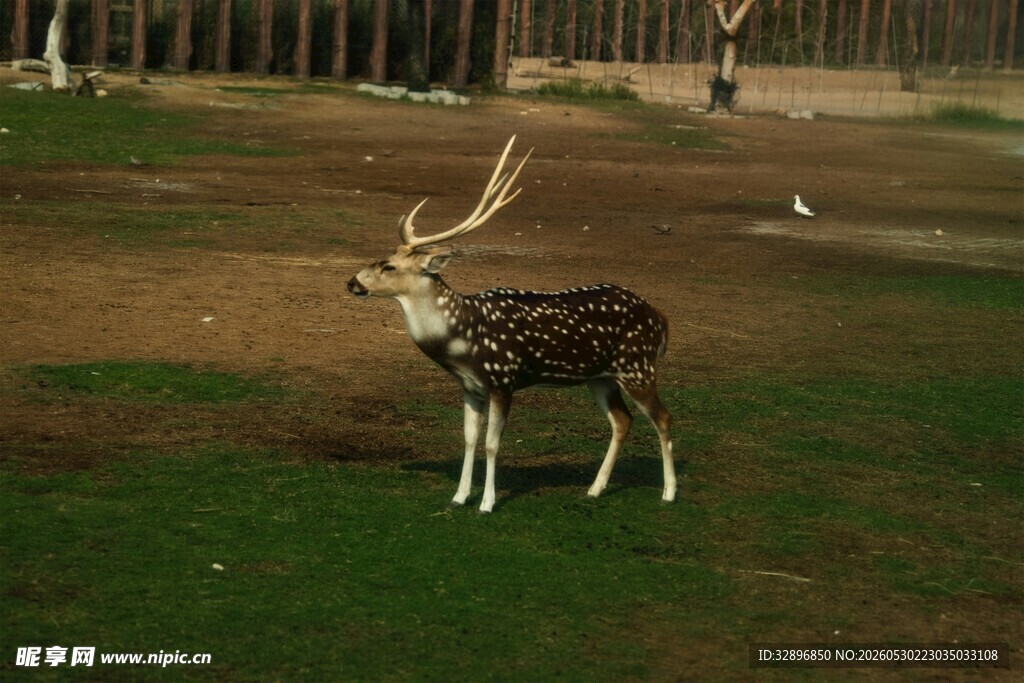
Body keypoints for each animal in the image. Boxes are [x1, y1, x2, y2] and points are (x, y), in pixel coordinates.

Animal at [347, 136, 676, 513]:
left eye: (388, 266)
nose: (352, 282)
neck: (461, 341)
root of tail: (660, 317)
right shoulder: (471, 387)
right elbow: (469, 440)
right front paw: (459, 496)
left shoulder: (503, 380)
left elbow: (492, 444)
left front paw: (487, 503)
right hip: (601, 377)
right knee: (623, 421)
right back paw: (595, 488)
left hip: (637, 367)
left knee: (663, 418)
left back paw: (669, 492)